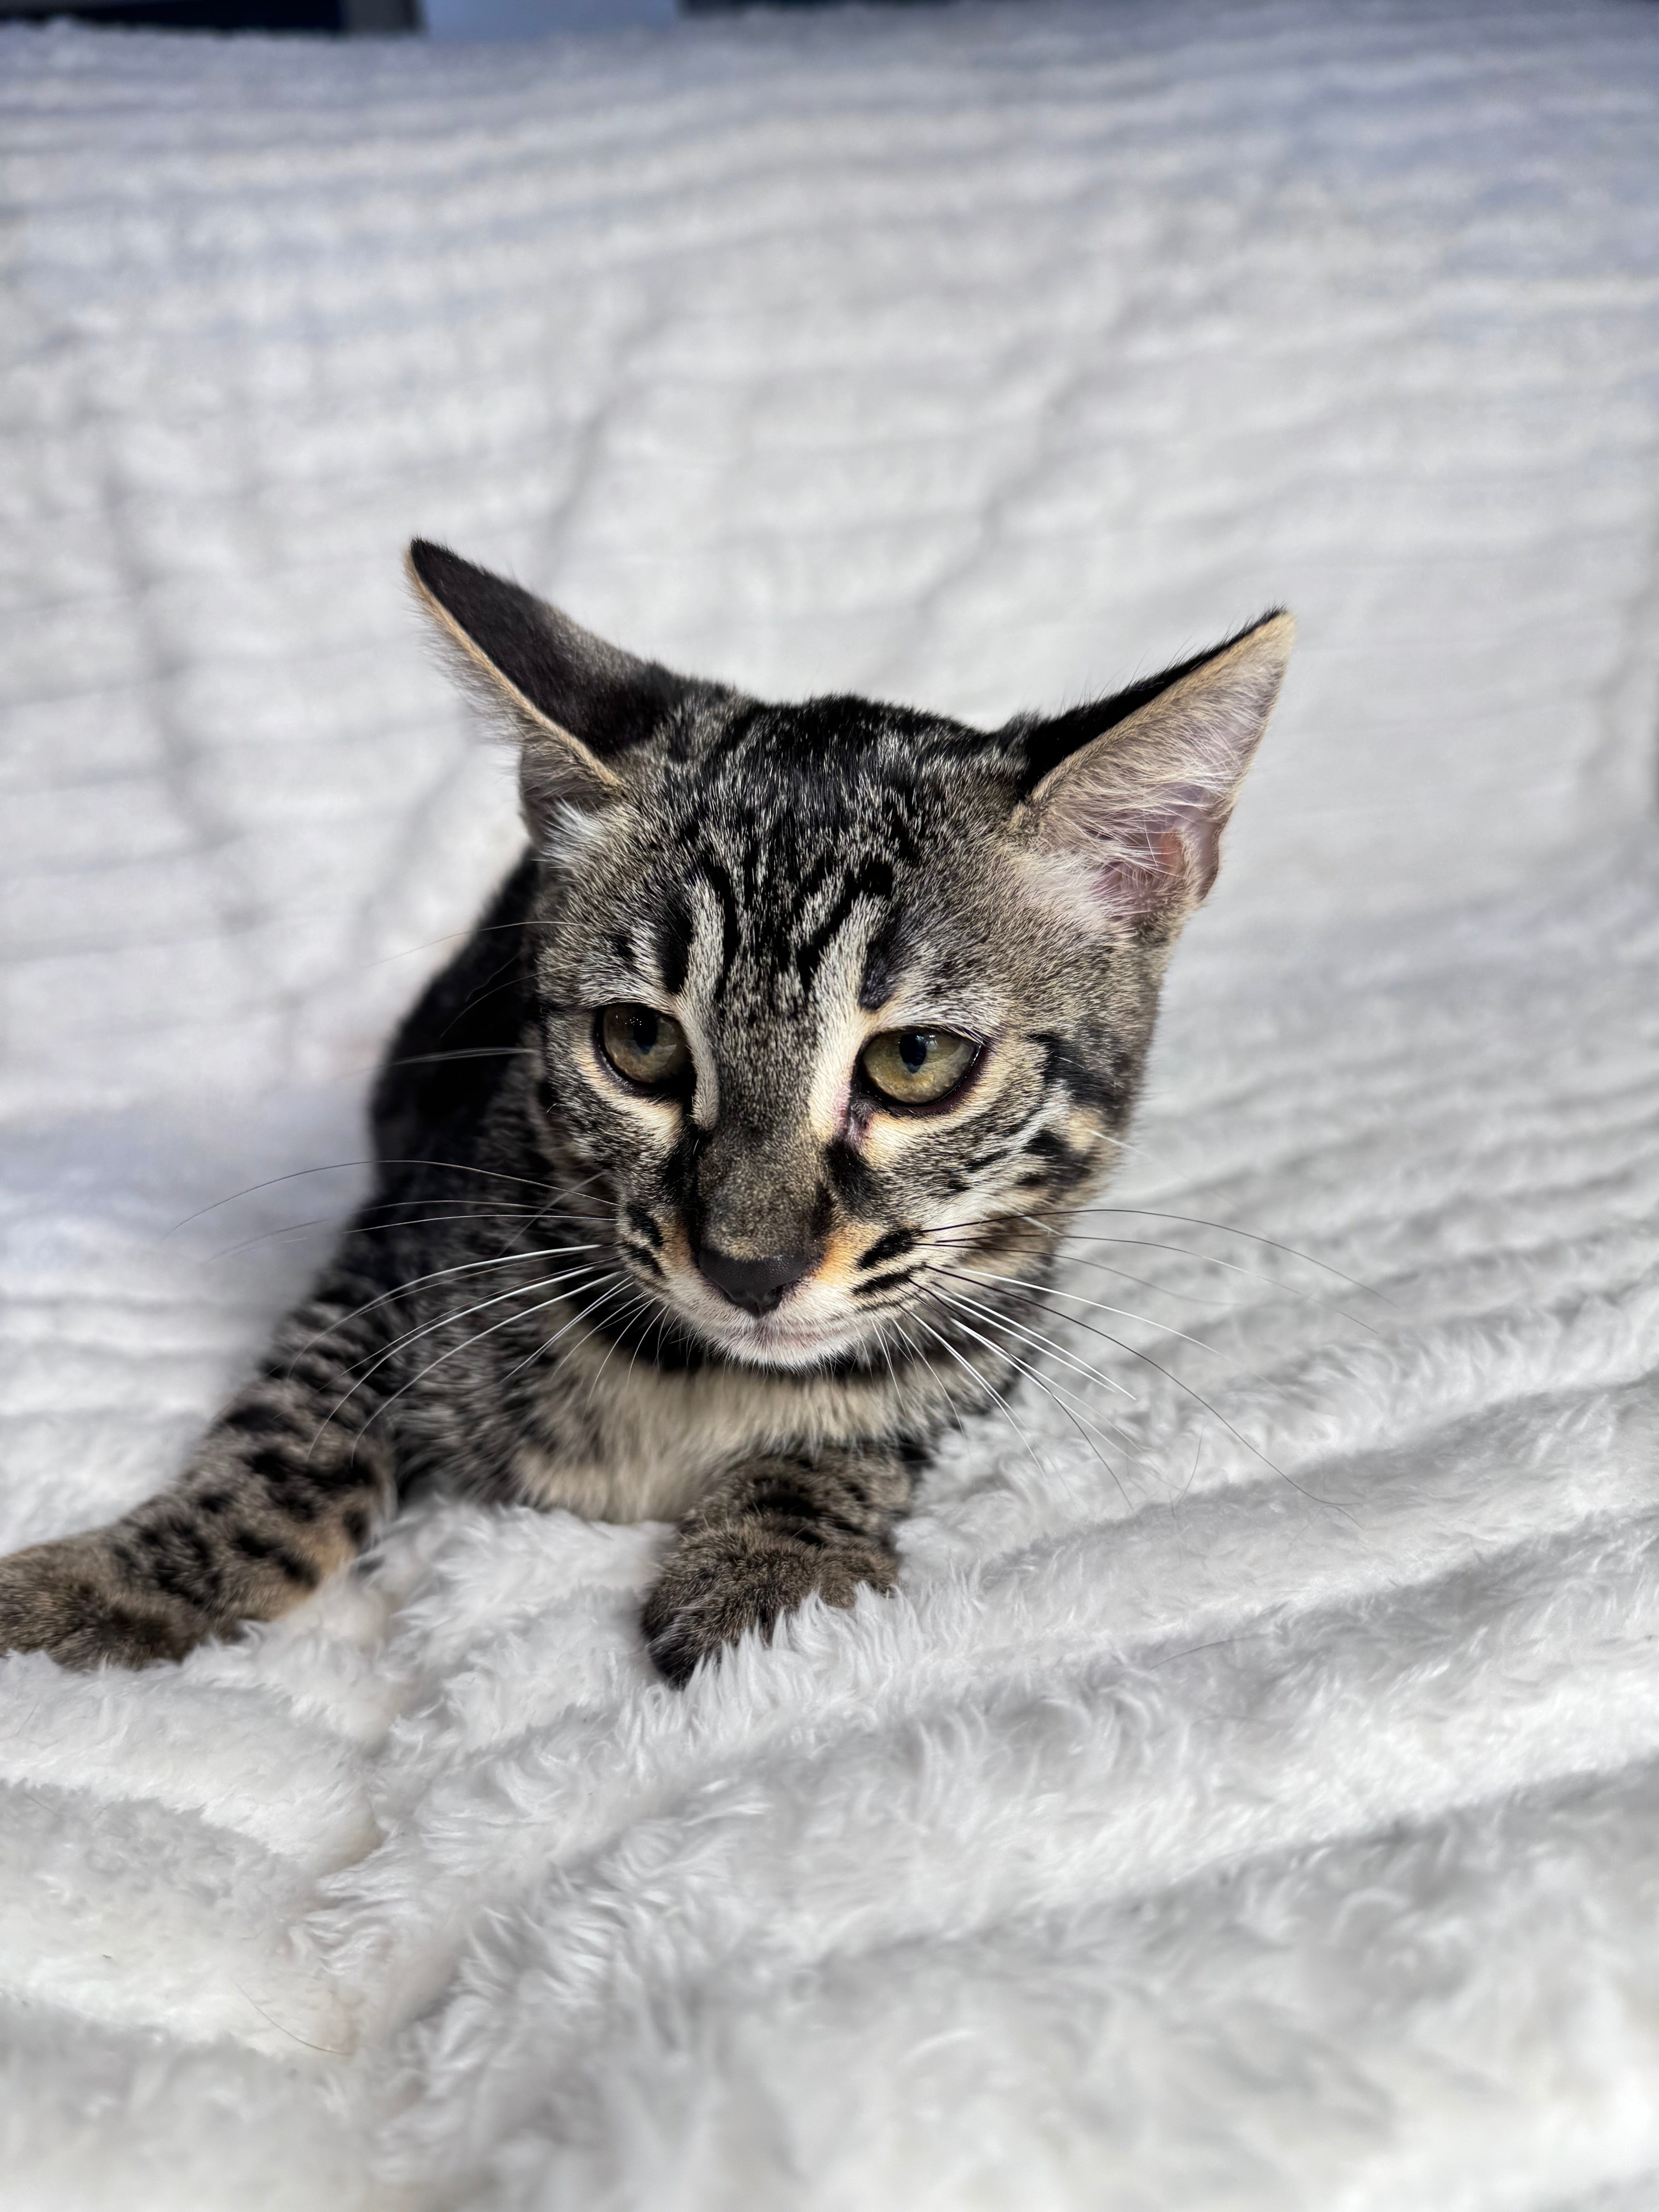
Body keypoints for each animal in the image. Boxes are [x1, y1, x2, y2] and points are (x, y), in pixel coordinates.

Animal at [0, 548, 1291, 1672]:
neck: (692, 1382)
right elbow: (288, 1432)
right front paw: (111, 1585)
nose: (748, 1267)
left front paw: (769, 1562)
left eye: (915, 1060)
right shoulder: (390, 1240)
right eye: (642, 1045)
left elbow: (865, 1422)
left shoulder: (993, 1338)